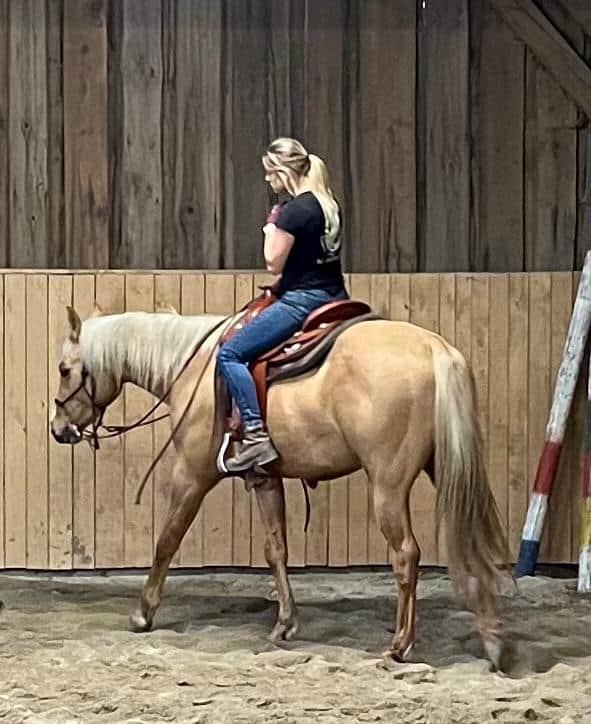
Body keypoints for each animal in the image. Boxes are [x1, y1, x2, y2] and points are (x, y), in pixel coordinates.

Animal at [50, 300, 510, 670]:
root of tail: (435, 348)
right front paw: (285, 624)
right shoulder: (265, 478)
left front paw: (142, 614)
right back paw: (492, 640)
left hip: (388, 485)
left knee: (406, 554)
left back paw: (400, 645)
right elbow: (277, 549)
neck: (193, 367)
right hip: (447, 468)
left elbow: (167, 539)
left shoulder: (192, 475)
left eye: (64, 369)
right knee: (473, 542)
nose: (58, 430)